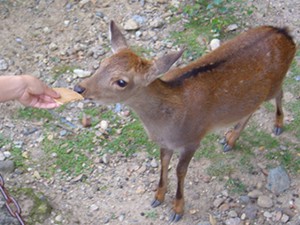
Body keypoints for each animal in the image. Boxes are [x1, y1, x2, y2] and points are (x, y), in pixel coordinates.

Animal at [74, 20, 296, 221]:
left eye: (121, 82)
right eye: (103, 63)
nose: (79, 88)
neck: (166, 124)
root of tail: (287, 35)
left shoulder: (192, 139)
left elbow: (180, 171)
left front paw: (177, 210)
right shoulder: (166, 143)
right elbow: (163, 163)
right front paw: (158, 197)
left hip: (275, 83)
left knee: (280, 93)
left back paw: (277, 125)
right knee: (252, 108)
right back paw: (230, 139)